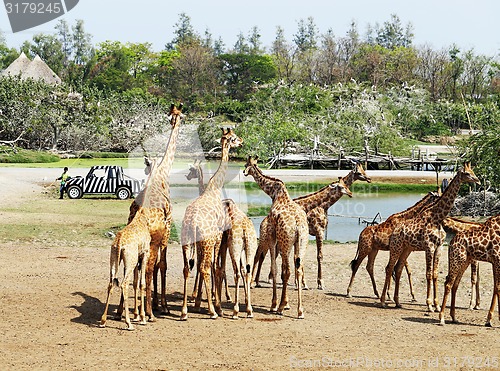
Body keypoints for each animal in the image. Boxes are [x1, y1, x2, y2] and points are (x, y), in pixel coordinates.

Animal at [128, 103, 185, 322]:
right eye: (181, 116)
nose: (176, 119)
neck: (162, 172)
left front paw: (156, 304)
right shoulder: (167, 231)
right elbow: (163, 265)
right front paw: (163, 306)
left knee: (137, 268)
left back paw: (127, 311)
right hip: (153, 241)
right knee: (149, 267)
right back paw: (149, 314)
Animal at [180, 128, 242, 320]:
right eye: (234, 138)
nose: (242, 141)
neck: (213, 188)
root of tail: (192, 222)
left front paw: (200, 301)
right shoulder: (218, 237)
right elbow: (216, 267)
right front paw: (215, 304)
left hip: (186, 242)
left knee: (187, 268)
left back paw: (184, 311)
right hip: (206, 242)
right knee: (205, 268)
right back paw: (213, 311)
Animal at [244, 155, 334, 318]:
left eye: (246, 164)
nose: (244, 172)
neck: (275, 193)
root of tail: (298, 225)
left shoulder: (273, 237)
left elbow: (275, 268)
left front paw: (276, 304)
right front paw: (286, 304)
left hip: (285, 242)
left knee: (286, 270)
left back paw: (280, 306)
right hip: (302, 242)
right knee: (297, 268)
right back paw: (300, 310)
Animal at [378, 164, 480, 312]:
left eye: (472, 171)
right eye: (467, 173)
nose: (477, 180)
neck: (437, 218)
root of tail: (395, 230)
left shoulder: (439, 247)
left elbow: (435, 274)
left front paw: (436, 305)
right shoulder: (429, 247)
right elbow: (428, 274)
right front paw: (429, 305)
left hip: (406, 249)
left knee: (397, 269)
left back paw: (397, 302)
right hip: (396, 247)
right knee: (389, 268)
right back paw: (383, 301)